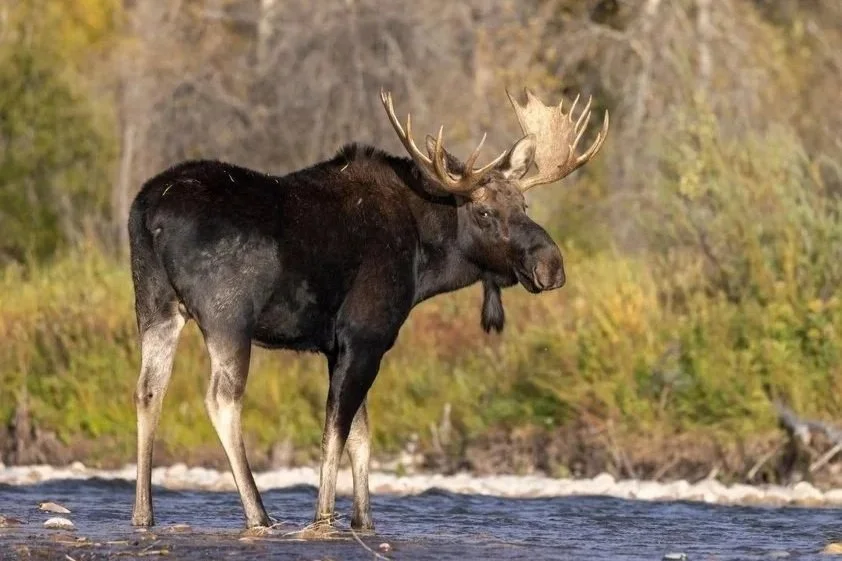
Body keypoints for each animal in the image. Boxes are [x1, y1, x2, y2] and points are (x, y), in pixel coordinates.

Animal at [128, 86, 608, 530]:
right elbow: (336, 433)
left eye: (524, 204)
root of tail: (150, 212)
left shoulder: (338, 348)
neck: (425, 261)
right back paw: (258, 515)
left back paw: (143, 515)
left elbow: (361, 437)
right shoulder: (365, 337)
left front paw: (363, 521)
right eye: (485, 213)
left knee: (150, 389)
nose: (551, 263)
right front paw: (324, 519)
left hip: (155, 306)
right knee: (221, 399)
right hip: (228, 317)